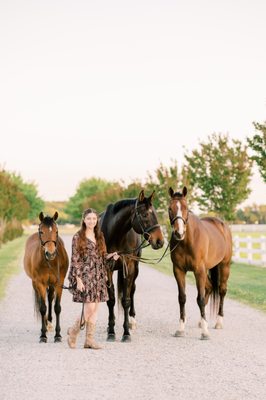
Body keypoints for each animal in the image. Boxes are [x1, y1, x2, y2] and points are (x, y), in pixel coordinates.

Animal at [99, 189, 163, 342]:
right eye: (145, 215)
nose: (160, 241)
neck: (116, 233)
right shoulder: (107, 267)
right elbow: (111, 300)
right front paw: (111, 332)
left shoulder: (129, 267)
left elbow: (126, 300)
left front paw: (126, 333)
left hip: (136, 269)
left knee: (132, 290)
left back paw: (132, 321)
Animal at [168, 186, 233, 340]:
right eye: (169, 208)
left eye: (186, 207)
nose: (179, 233)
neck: (187, 241)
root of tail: (222, 225)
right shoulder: (178, 270)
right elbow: (182, 298)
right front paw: (181, 329)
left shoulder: (199, 270)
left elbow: (201, 299)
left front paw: (205, 332)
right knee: (209, 288)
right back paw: (201, 321)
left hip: (224, 266)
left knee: (222, 291)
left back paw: (218, 322)